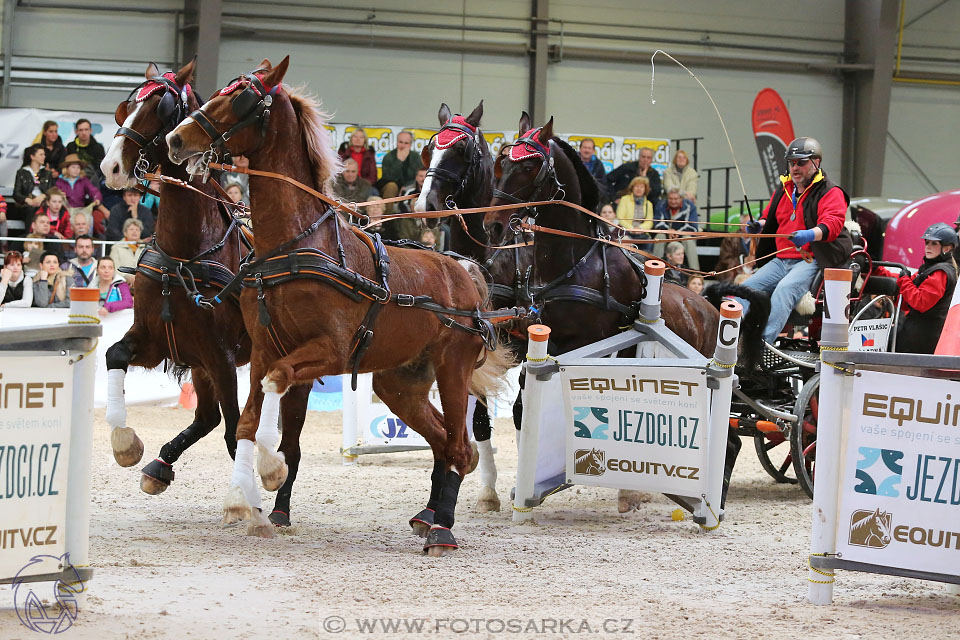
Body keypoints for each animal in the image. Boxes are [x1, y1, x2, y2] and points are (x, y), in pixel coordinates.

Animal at [98, 58, 308, 524]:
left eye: (161, 109)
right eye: (126, 107)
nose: (110, 167)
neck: (185, 252)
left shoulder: (221, 356)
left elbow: (235, 431)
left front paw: (249, 497)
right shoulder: (158, 340)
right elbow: (114, 354)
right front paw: (126, 444)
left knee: (288, 440)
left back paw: (280, 505)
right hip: (196, 363)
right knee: (208, 417)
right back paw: (159, 465)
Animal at [167, 57, 510, 552]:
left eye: (243, 99)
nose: (176, 139)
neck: (295, 244)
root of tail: (464, 271)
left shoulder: (328, 351)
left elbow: (275, 385)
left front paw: (271, 472)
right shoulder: (263, 349)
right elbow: (248, 420)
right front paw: (241, 502)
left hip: (453, 369)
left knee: (461, 448)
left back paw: (442, 529)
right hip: (400, 382)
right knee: (442, 440)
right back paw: (428, 516)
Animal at [484, 111, 768, 510]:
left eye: (529, 166)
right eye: (501, 163)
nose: (492, 224)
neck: (574, 264)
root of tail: (708, 306)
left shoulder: (586, 347)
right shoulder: (542, 343)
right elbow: (524, 408)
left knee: (728, 440)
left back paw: (710, 502)